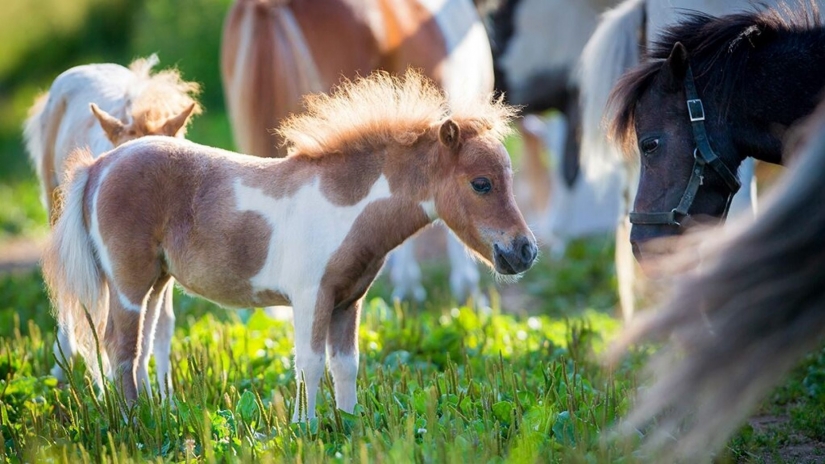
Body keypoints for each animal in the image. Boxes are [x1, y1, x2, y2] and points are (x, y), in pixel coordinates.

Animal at [42, 70, 537, 419]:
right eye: (481, 183)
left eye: (510, 178)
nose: (525, 251)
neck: (344, 206)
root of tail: (101, 165)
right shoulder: (311, 296)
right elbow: (309, 363)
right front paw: (305, 428)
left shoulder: (348, 301)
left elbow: (346, 364)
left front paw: (348, 425)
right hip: (128, 282)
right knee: (119, 347)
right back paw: (133, 423)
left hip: (158, 282)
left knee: (142, 347)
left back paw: (154, 414)